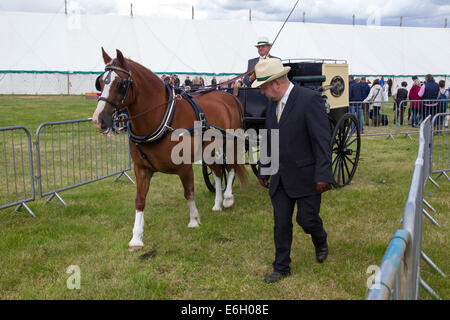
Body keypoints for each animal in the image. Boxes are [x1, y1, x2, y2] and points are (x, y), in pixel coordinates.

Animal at [91, 48, 246, 251]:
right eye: (100, 82)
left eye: (121, 84)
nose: (98, 120)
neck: (162, 118)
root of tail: (231, 97)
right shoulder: (141, 169)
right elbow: (140, 200)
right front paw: (136, 238)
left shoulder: (184, 166)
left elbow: (189, 192)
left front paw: (194, 220)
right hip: (209, 150)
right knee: (218, 172)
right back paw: (218, 203)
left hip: (231, 142)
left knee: (232, 167)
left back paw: (227, 198)